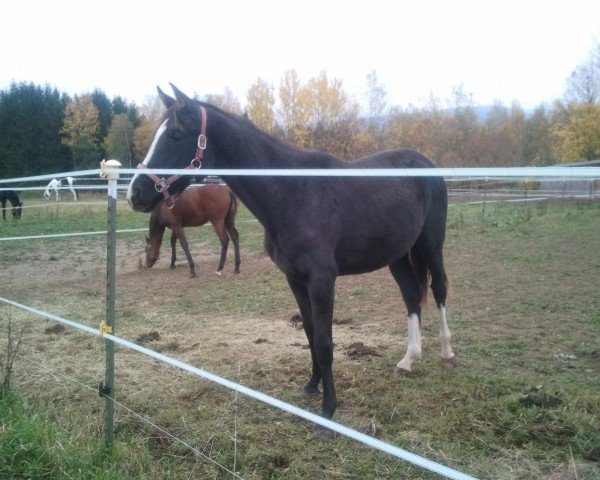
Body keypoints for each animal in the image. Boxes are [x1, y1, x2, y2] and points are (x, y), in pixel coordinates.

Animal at [127, 84, 454, 422]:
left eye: (177, 134)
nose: (134, 193)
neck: (292, 191)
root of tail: (426, 164)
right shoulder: (295, 278)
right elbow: (309, 333)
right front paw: (311, 387)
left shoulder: (322, 280)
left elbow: (324, 341)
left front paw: (328, 409)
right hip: (398, 255)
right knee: (411, 296)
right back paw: (408, 360)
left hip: (431, 246)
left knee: (439, 289)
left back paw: (447, 353)